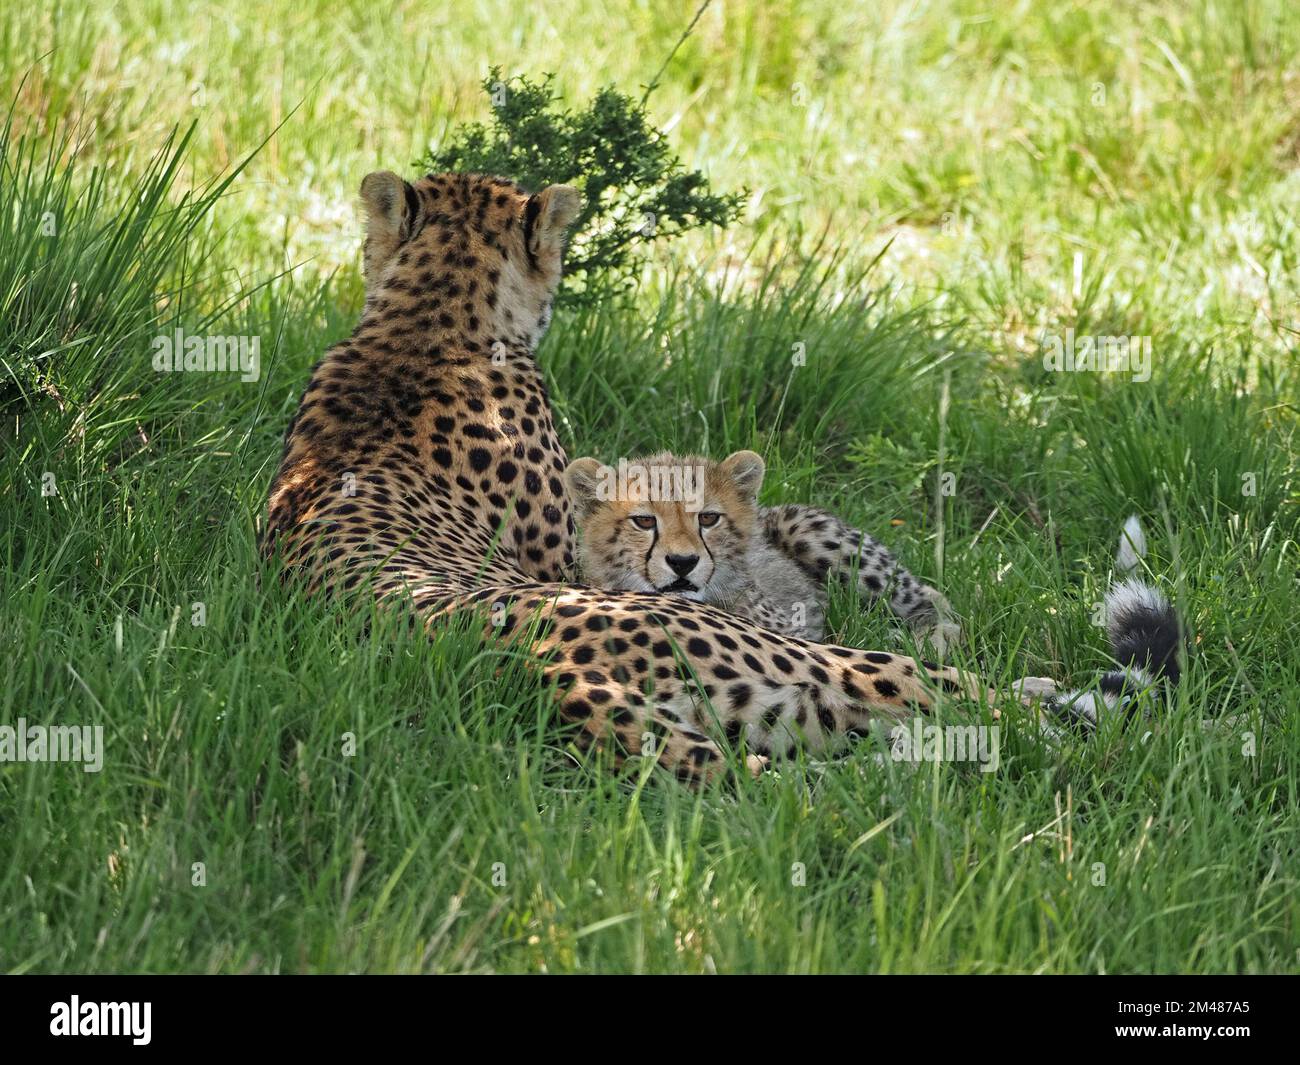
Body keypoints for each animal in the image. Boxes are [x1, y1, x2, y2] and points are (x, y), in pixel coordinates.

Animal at [564, 448, 958, 650]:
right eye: (644, 521)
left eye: (708, 518)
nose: (683, 562)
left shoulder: (802, 636)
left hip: (802, 526)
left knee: (936, 601)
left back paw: (927, 640)